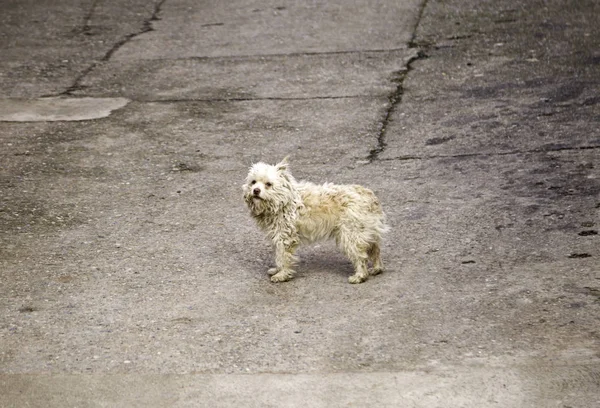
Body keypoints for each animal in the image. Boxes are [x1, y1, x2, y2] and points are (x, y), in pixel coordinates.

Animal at [244, 157, 390, 284]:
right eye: (253, 182)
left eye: (268, 184)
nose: (255, 190)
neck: (283, 200)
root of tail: (369, 196)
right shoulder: (278, 236)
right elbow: (278, 255)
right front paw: (277, 270)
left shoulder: (285, 237)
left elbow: (283, 256)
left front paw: (282, 275)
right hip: (366, 232)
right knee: (375, 249)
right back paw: (376, 268)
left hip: (351, 234)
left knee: (360, 256)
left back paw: (360, 276)